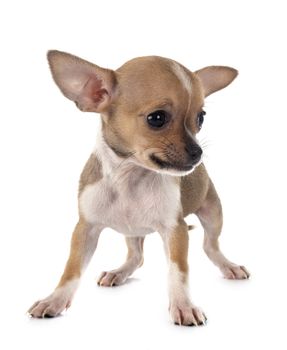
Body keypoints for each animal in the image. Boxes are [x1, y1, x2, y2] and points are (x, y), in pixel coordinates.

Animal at [28, 51, 251, 326]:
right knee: (137, 256)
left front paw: (183, 305)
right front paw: (54, 300)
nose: (198, 152)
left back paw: (228, 265)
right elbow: (71, 269)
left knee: (211, 245)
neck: (130, 178)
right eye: (157, 118)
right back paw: (120, 272)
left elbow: (178, 271)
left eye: (201, 118)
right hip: (132, 232)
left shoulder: (175, 230)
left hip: (212, 212)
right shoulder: (85, 229)